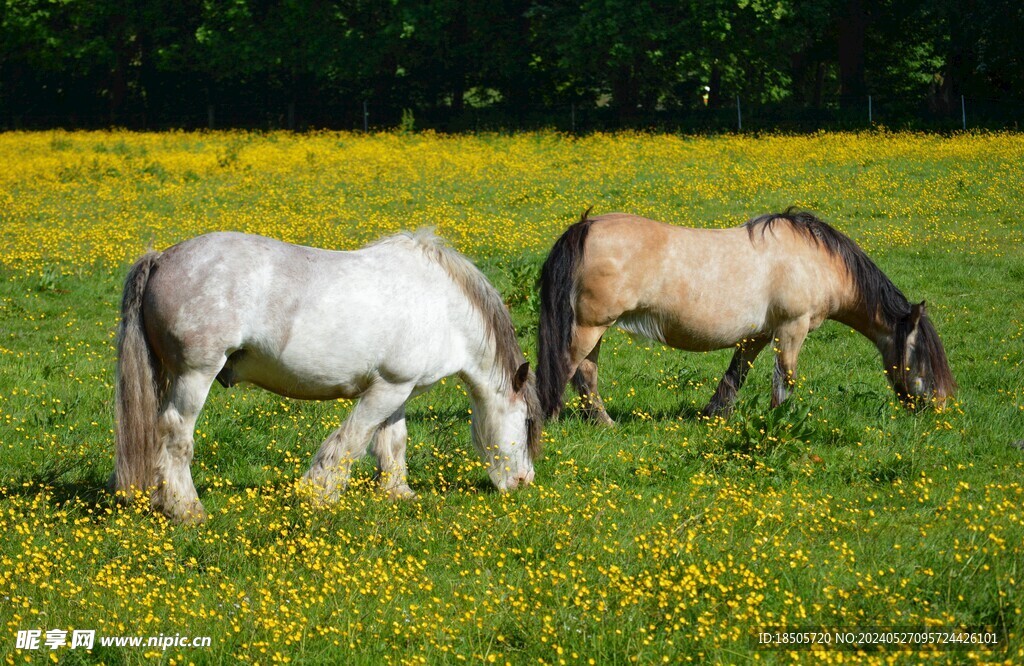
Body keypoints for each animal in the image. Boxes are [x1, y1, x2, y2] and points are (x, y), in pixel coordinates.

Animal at [113, 230, 544, 520]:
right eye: (527, 423)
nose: (524, 482)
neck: (442, 307)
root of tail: (161, 258)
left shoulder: (397, 390)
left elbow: (392, 444)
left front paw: (399, 493)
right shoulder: (386, 390)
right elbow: (352, 440)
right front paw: (319, 494)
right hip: (194, 375)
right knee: (175, 438)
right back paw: (187, 510)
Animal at [540, 210, 954, 422]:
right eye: (921, 357)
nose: (939, 407)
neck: (814, 259)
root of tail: (585, 226)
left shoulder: (757, 335)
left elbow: (735, 376)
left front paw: (713, 415)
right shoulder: (792, 328)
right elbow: (785, 378)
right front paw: (777, 421)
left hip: (594, 330)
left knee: (585, 375)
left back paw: (602, 422)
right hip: (589, 328)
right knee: (568, 370)